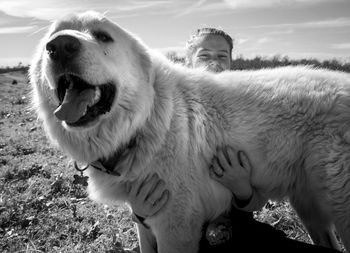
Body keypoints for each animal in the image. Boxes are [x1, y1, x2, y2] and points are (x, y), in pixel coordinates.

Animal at [30, 11, 350, 253]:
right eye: (53, 36)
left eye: (103, 36)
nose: (60, 46)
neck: (146, 119)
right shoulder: (144, 218)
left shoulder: (176, 227)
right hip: (309, 206)